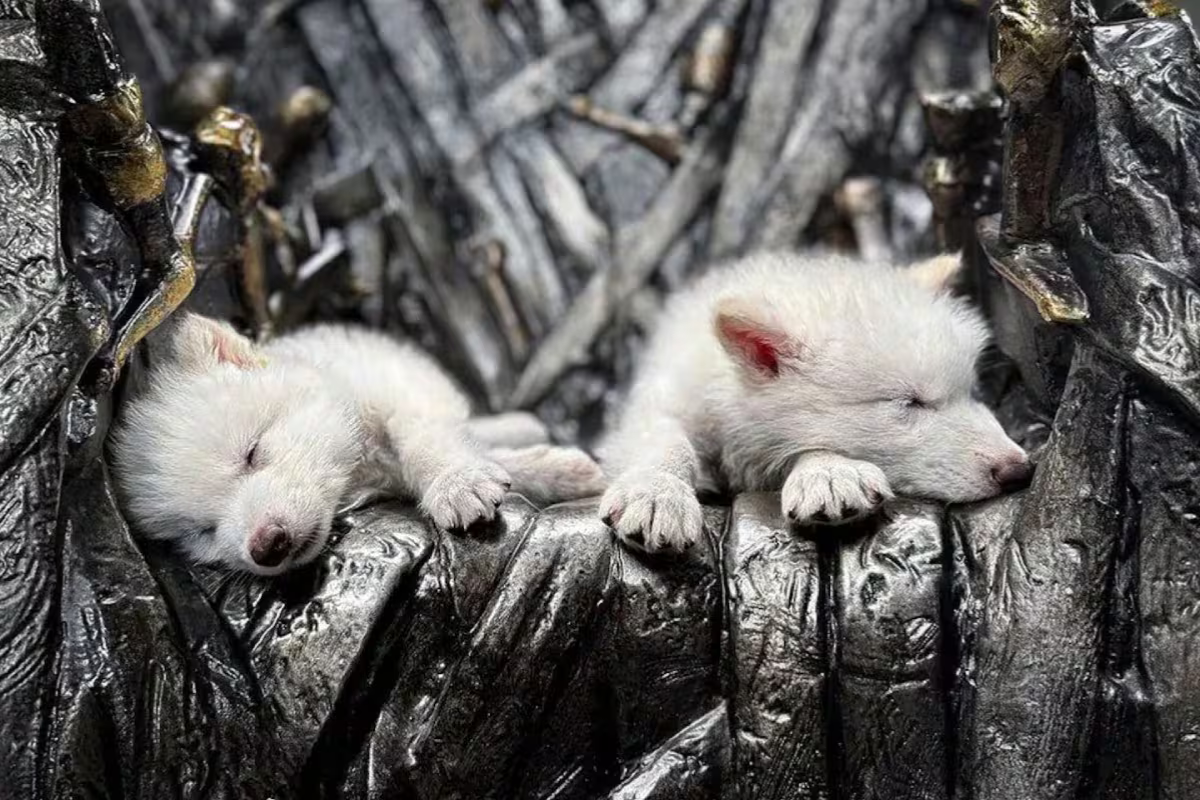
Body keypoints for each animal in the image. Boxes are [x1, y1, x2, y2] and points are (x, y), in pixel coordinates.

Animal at [110, 313, 605, 575]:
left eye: (252, 453)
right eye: (203, 531)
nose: (265, 546)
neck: (358, 467)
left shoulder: (401, 394)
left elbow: (425, 439)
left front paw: (457, 482)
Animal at [599, 251, 1031, 552]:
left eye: (970, 393)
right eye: (911, 402)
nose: (1020, 471)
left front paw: (829, 473)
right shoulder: (664, 398)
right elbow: (665, 440)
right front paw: (656, 493)